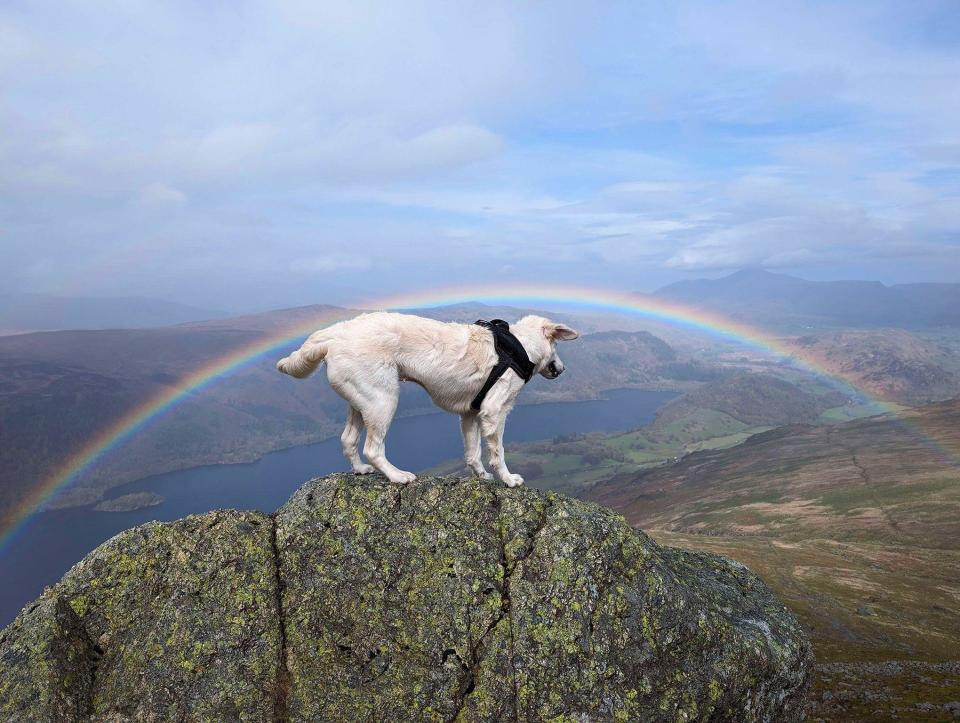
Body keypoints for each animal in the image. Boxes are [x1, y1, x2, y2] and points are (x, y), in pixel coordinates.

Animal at [276, 312, 576, 486]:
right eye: (557, 346)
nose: (562, 369)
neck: (519, 346)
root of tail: (336, 334)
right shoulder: (494, 412)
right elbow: (497, 452)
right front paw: (508, 479)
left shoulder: (470, 415)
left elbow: (472, 453)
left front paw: (480, 476)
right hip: (383, 400)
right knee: (373, 448)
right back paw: (397, 476)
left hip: (361, 402)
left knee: (348, 440)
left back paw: (360, 470)